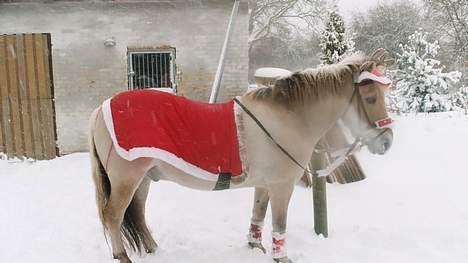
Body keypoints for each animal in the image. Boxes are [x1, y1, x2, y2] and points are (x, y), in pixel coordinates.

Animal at [88, 48, 394, 262]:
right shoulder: (282, 187)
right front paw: (281, 257)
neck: (288, 118)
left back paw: (154, 250)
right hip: (127, 179)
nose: (387, 141)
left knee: (137, 215)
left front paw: (254, 246)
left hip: (144, 179)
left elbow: (258, 214)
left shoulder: (264, 185)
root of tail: (101, 110)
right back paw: (123, 256)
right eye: (370, 98)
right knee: (113, 216)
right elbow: (279, 224)